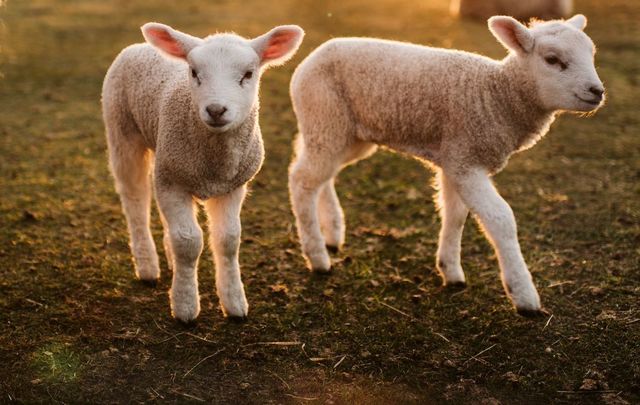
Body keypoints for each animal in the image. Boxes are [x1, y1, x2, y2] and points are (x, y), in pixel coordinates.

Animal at [102, 22, 304, 320]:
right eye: (194, 72)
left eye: (248, 74)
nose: (216, 110)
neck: (215, 165)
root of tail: (139, 46)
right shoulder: (174, 181)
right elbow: (188, 242)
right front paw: (185, 306)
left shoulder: (231, 186)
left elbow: (228, 240)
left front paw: (234, 303)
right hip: (122, 132)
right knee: (135, 200)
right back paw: (148, 266)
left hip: (164, 155)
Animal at [288, 14, 604, 314]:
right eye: (552, 59)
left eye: (591, 53)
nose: (597, 91)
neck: (496, 96)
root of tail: (314, 54)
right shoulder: (465, 161)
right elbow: (501, 219)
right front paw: (523, 295)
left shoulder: (455, 158)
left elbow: (455, 214)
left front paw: (450, 270)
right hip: (325, 117)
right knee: (302, 179)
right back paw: (317, 256)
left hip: (347, 134)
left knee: (322, 175)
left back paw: (332, 233)